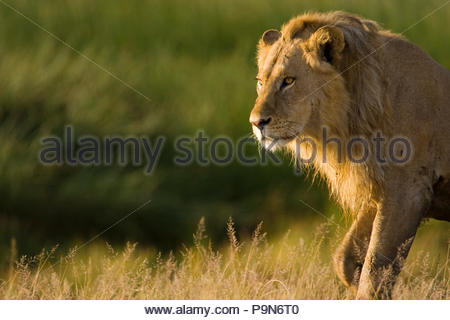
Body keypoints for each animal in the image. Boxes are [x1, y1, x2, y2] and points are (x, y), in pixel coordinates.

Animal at [250, 10, 450, 300]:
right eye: (260, 82)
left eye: (288, 81)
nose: (256, 123)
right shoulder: (378, 192)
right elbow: (345, 260)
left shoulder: (408, 192)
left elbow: (373, 273)